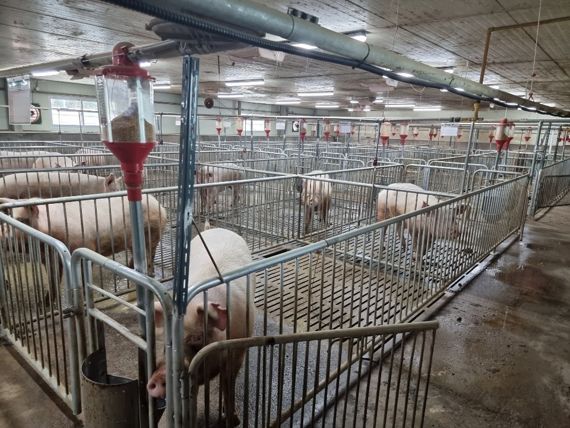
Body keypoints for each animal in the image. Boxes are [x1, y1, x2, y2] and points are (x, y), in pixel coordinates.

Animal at [148, 227, 254, 424]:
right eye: (167, 343)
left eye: (197, 338)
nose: (159, 376)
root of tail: (217, 228)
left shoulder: (238, 352)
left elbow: (228, 384)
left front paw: (233, 420)